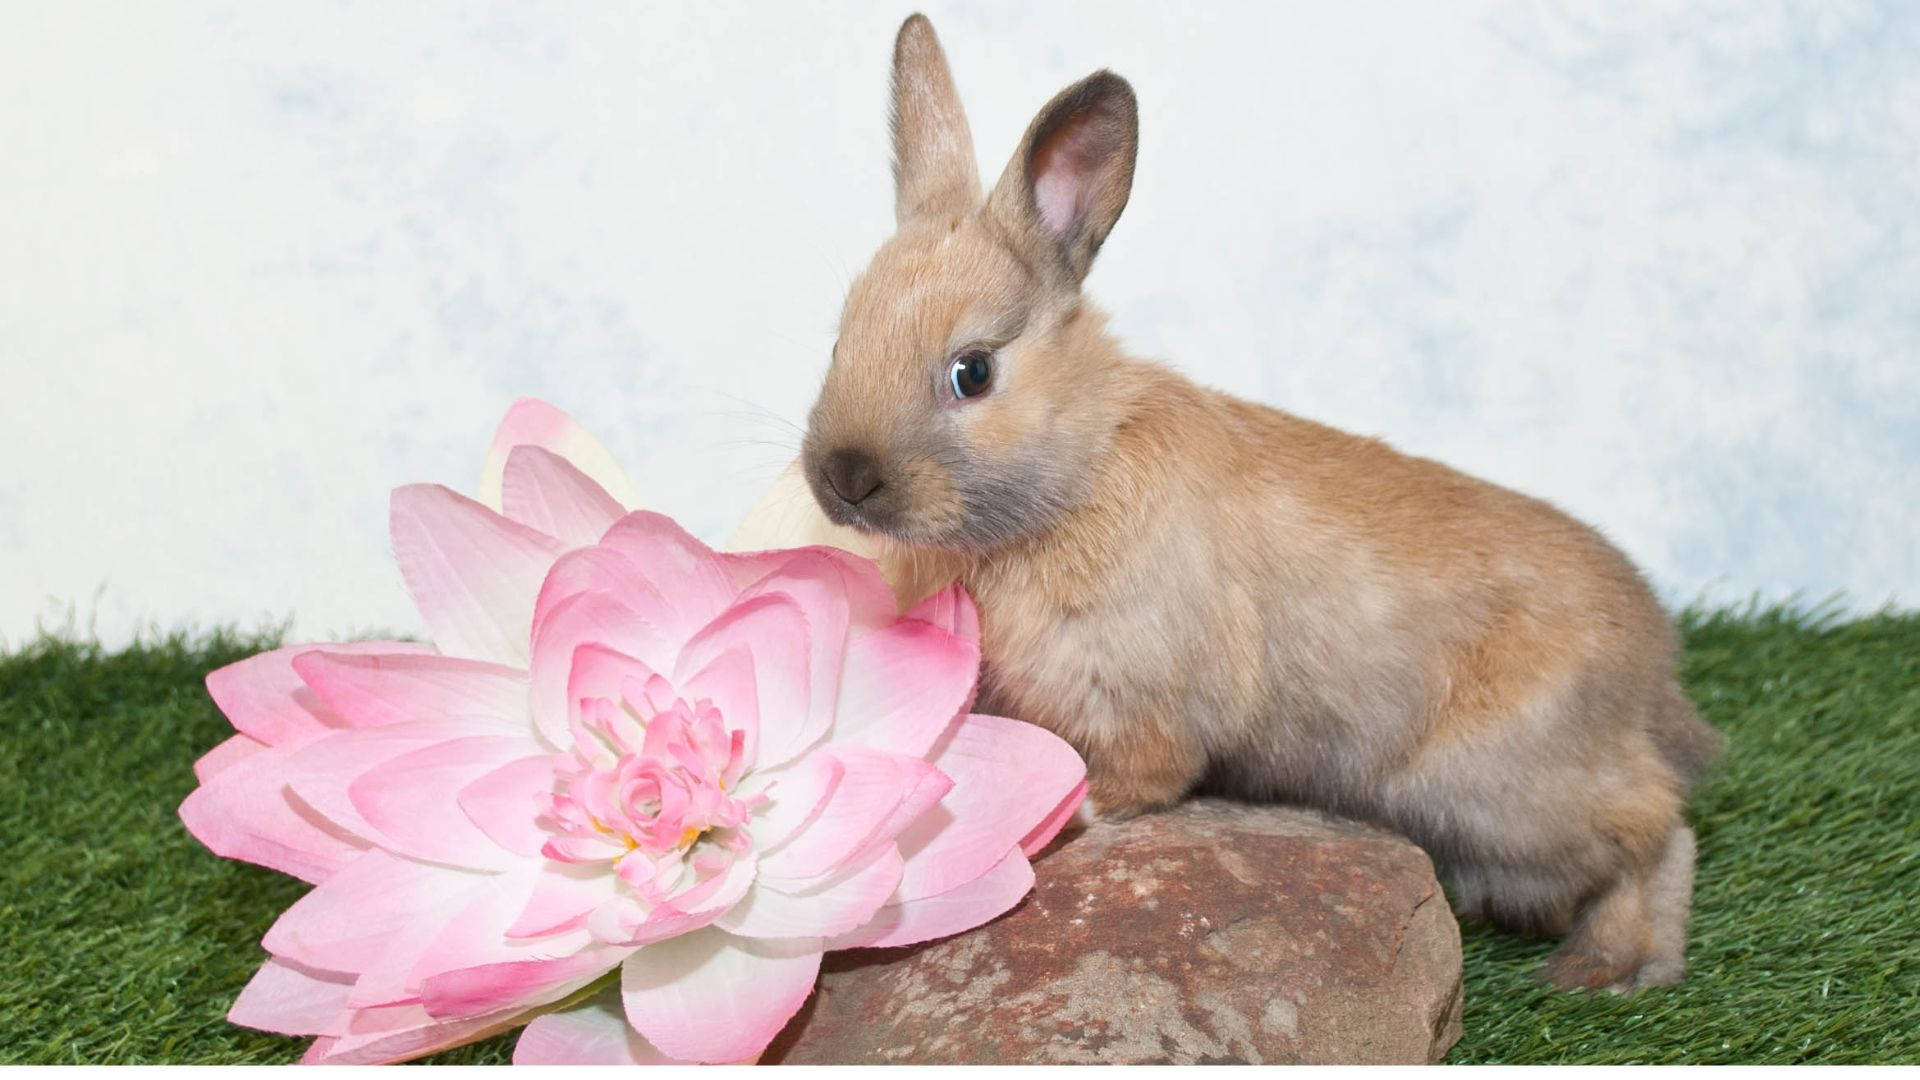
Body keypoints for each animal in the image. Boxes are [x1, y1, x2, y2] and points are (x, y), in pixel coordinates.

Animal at [794, 12, 1728, 991]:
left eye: (971, 372)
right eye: (840, 341)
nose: (843, 477)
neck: (1082, 468)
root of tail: (1653, 668)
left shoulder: (1135, 701)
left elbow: (1137, 780)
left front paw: (1077, 821)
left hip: (1502, 792)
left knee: (1659, 830)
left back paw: (1609, 967)